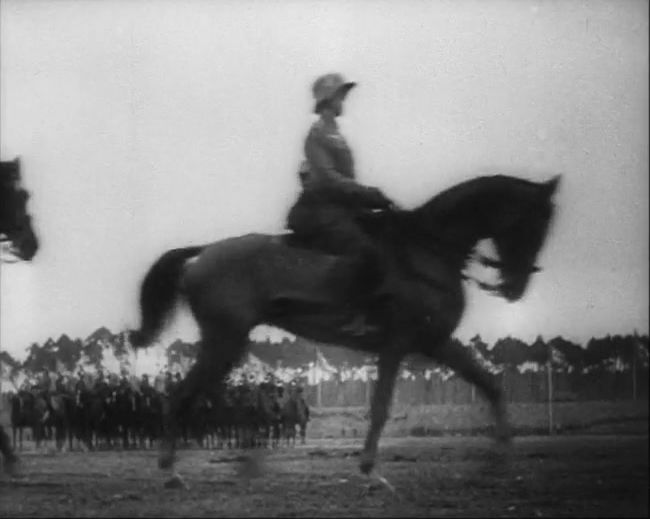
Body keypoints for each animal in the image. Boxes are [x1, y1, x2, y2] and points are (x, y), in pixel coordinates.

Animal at [129, 175, 560, 484]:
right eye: (533, 224)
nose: (515, 286)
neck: (427, 251)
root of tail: (204, 252)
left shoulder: (436, 342)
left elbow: (491, 385)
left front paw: (503, 458)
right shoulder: (397, 344)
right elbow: (381, 407)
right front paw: (369, 472)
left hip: (227, 346)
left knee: (196, 398)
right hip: (223, 341)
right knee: (179, 398)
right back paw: (171, 472)